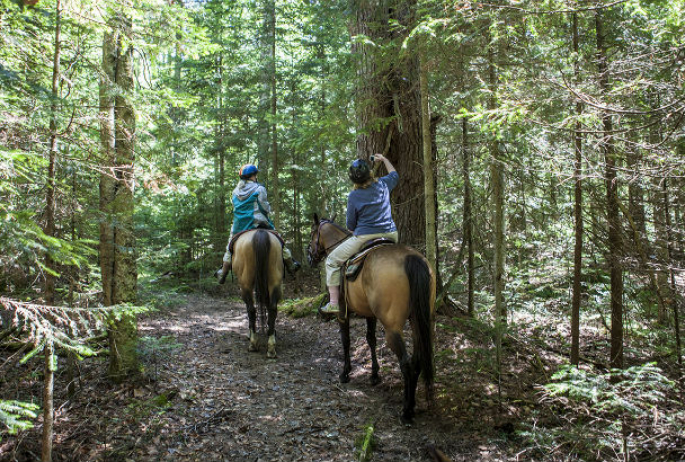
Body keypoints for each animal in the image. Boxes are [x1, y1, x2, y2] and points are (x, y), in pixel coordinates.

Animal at [231, 229, 282, 360]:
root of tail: (260, 232)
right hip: (274, 279)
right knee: (272, 307)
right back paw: (271, 347)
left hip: (246, 283)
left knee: (251, 309)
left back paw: (253, 343)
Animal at [308, 215, 436, 424]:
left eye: (312, 234)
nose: (309, 257)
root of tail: (412, 258)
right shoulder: (369, 313)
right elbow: (371, 340)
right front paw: (375, 375)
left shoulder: (343, 312)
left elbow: (346, 340)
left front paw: (345, 373)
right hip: (419, 321)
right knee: (417, 360)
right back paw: (412, 405)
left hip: (392, 328)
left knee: (406, 364)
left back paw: (406, 412)